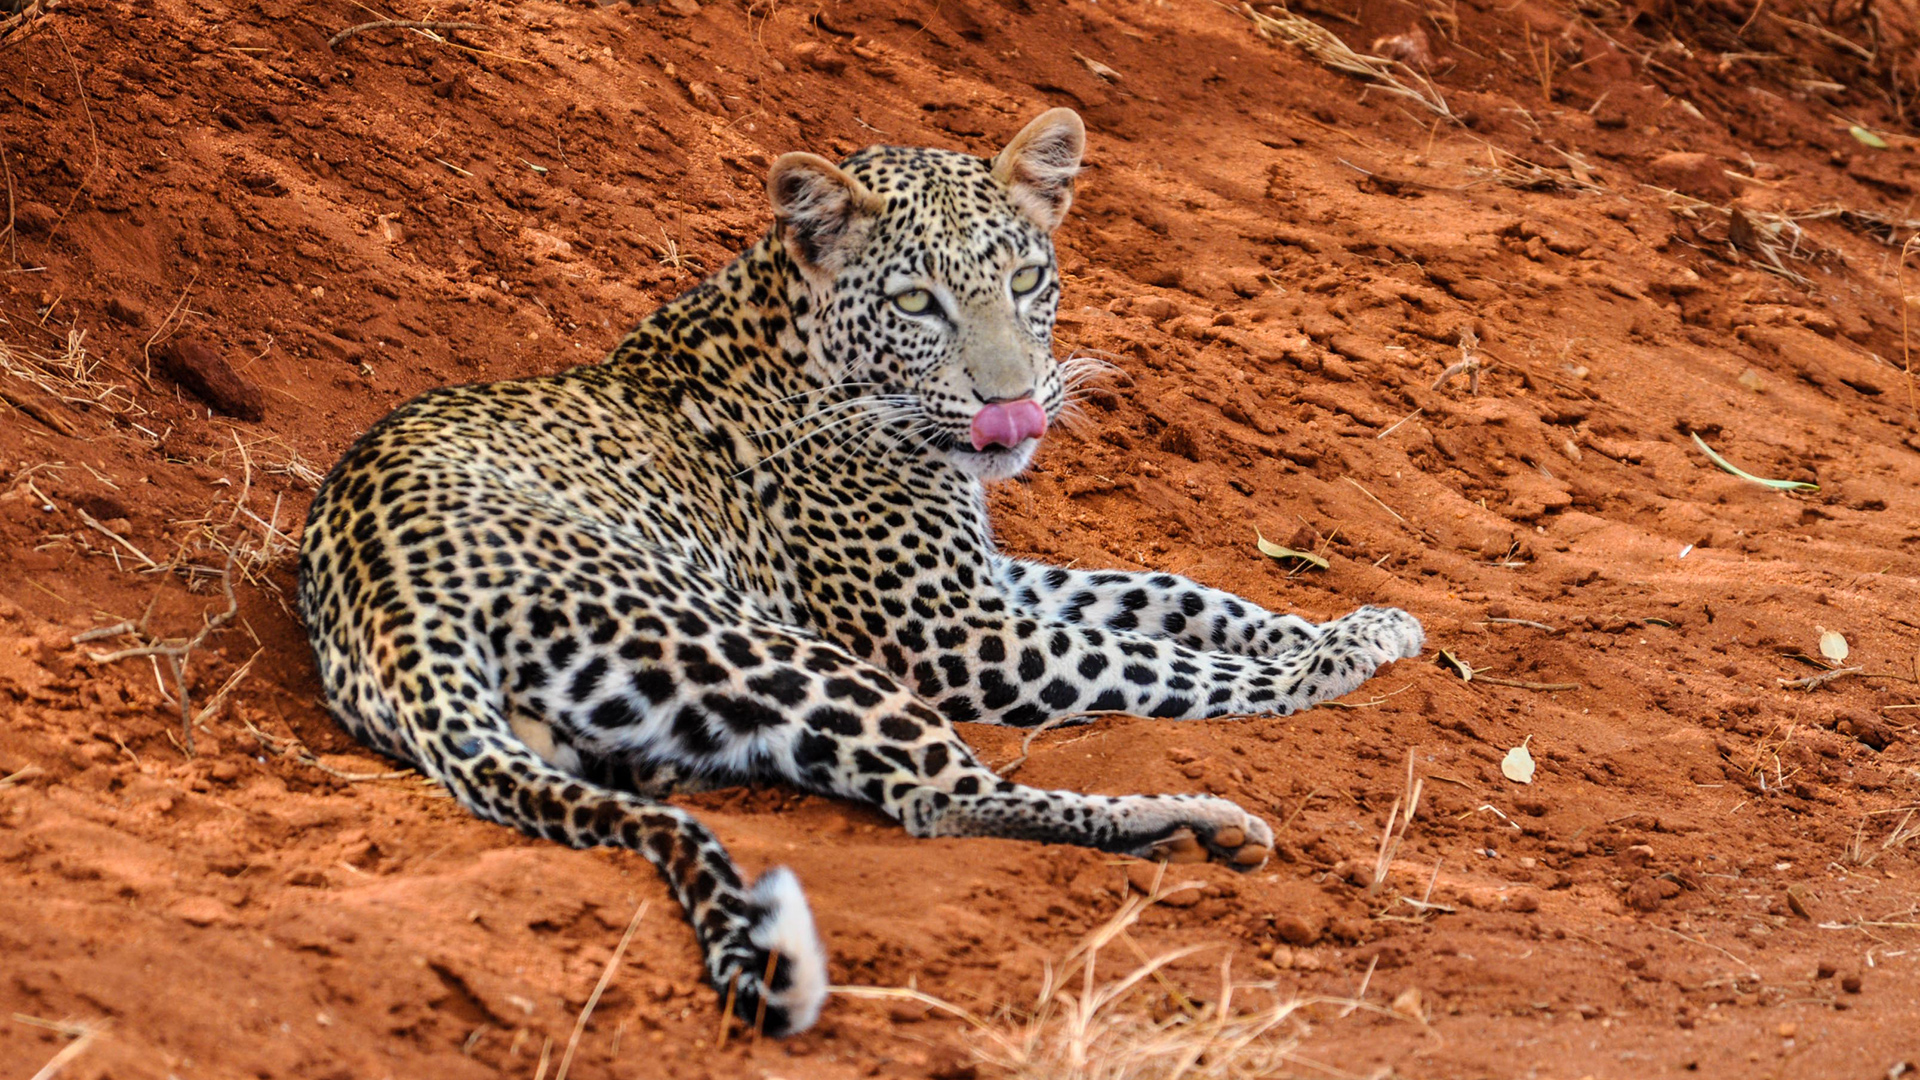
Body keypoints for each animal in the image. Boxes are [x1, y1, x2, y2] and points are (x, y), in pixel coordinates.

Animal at [296, 108, 1425, 1037]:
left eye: (1025, 281)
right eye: (917, 302)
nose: (1013, 406)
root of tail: (386, 606)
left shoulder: (984, 582)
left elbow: (1166, 594)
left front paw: (1349, 623)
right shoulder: (956, 634)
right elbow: (1154, 662)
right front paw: (1332, 659)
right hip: (759, 642)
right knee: (946, 799)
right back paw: (1198, 828)